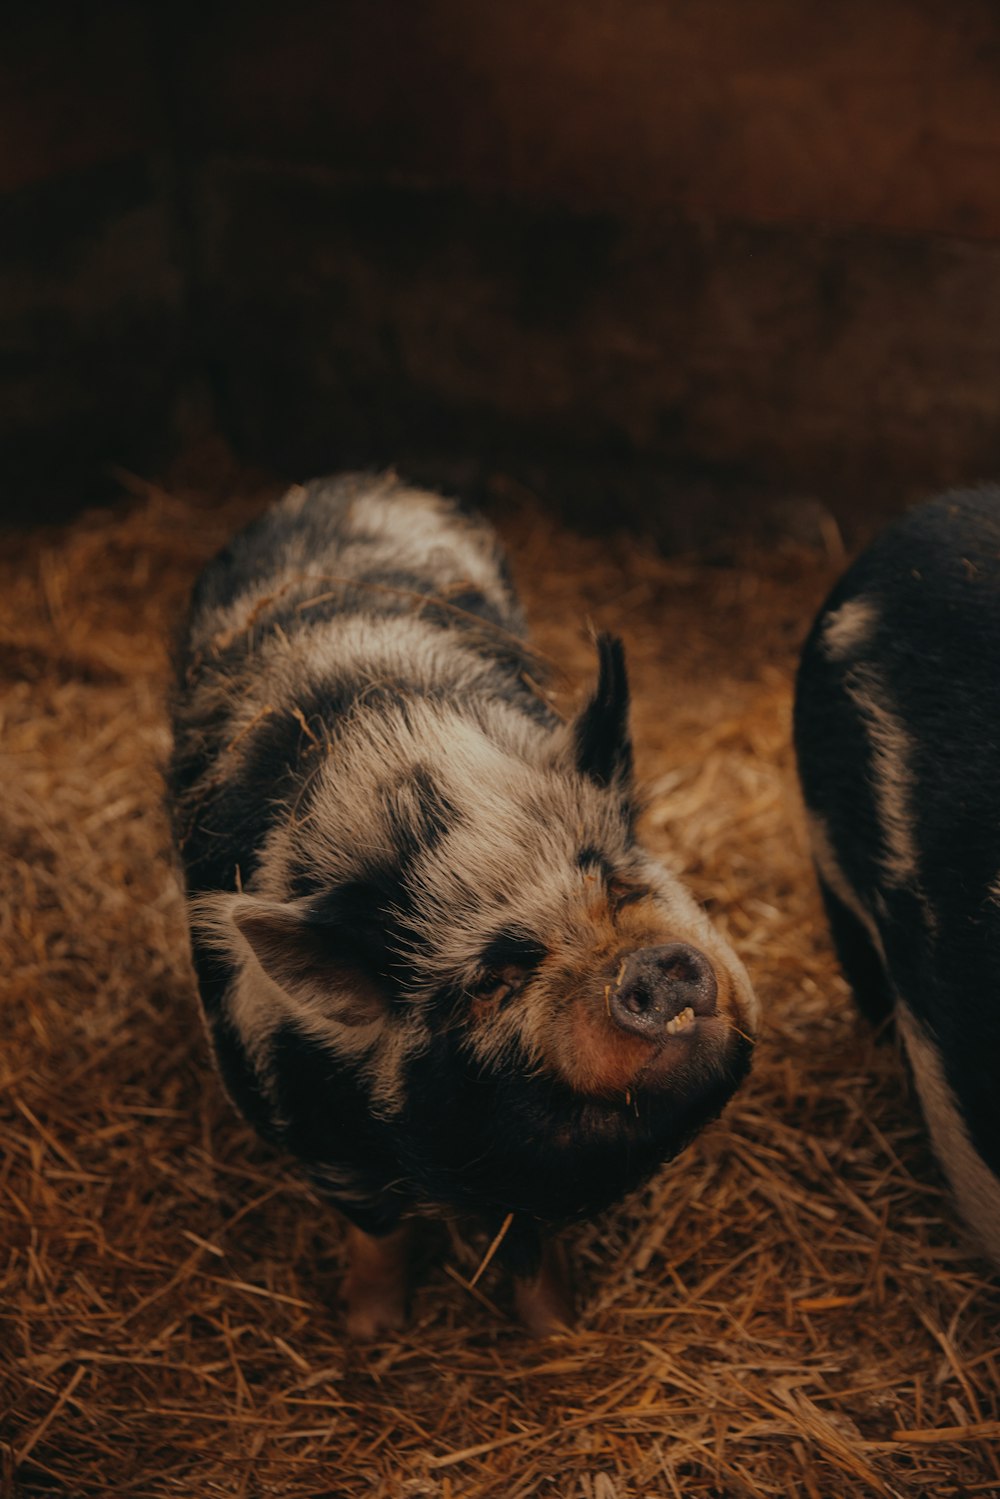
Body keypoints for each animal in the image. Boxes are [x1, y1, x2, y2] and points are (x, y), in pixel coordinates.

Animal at [167, 473, 758, 1331]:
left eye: (619, 885)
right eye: (491, 982)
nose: (651, 966)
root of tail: (358, 480)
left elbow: (530, 1251)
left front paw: (557, 1334)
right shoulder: (311, 1134)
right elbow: (377, 1234)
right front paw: (368, 1333)